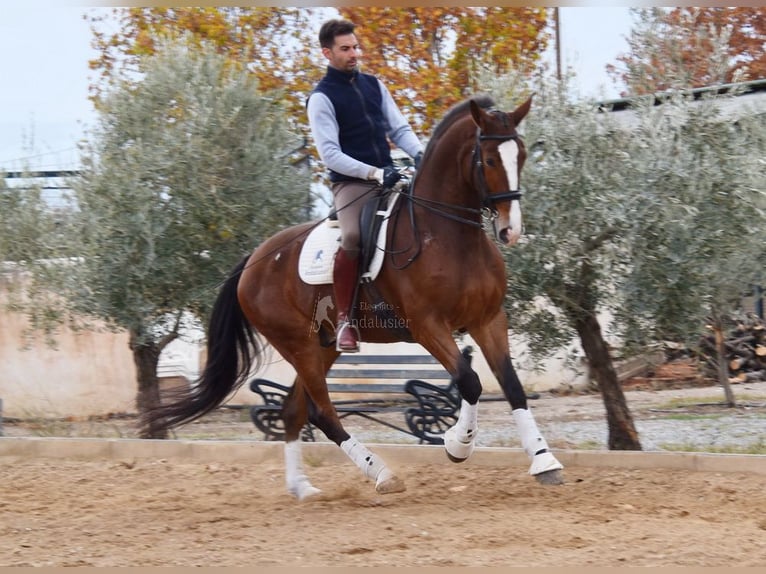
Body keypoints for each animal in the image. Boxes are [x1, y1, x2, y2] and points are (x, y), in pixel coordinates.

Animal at [144, 94, 564, 500]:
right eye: (489, 159)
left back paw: (302, 487)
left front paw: (544, 461)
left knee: (294, 410)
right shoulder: (427, 325)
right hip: (298, 345)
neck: (448, 236)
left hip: (324, 345)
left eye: (521, 155)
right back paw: (381, 474)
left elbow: (511, 385)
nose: (510, 230)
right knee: (322, 414)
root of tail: (253, 261)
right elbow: (469, 380)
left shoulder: (488, 319)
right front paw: (457, 445)